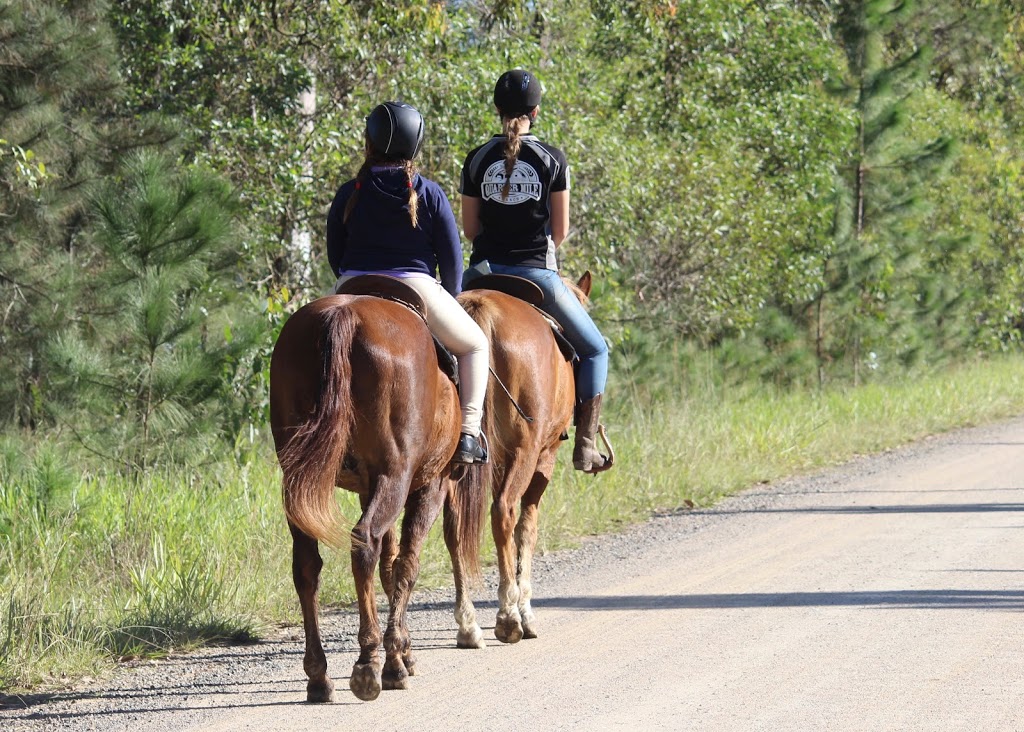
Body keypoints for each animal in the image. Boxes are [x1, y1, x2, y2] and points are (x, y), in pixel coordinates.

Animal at [268, 290, 483, 704]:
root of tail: (344, 316)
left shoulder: (370, 488)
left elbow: (390, 565)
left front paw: (404, 652)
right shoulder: (428, 487)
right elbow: (406, 565)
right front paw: (397, 659)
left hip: (300, 483)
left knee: (307, 565)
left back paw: (319, 677)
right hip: (395, 479)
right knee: (364, 543)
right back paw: (368, 664)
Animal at [446, 272, 593, 642]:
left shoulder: (499, 460)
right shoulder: (544, 456)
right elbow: (527, 526)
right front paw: (525, 609)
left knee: (454, 525)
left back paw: (467, 624)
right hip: (527, 452)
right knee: (505, 513)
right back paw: (509, 616)